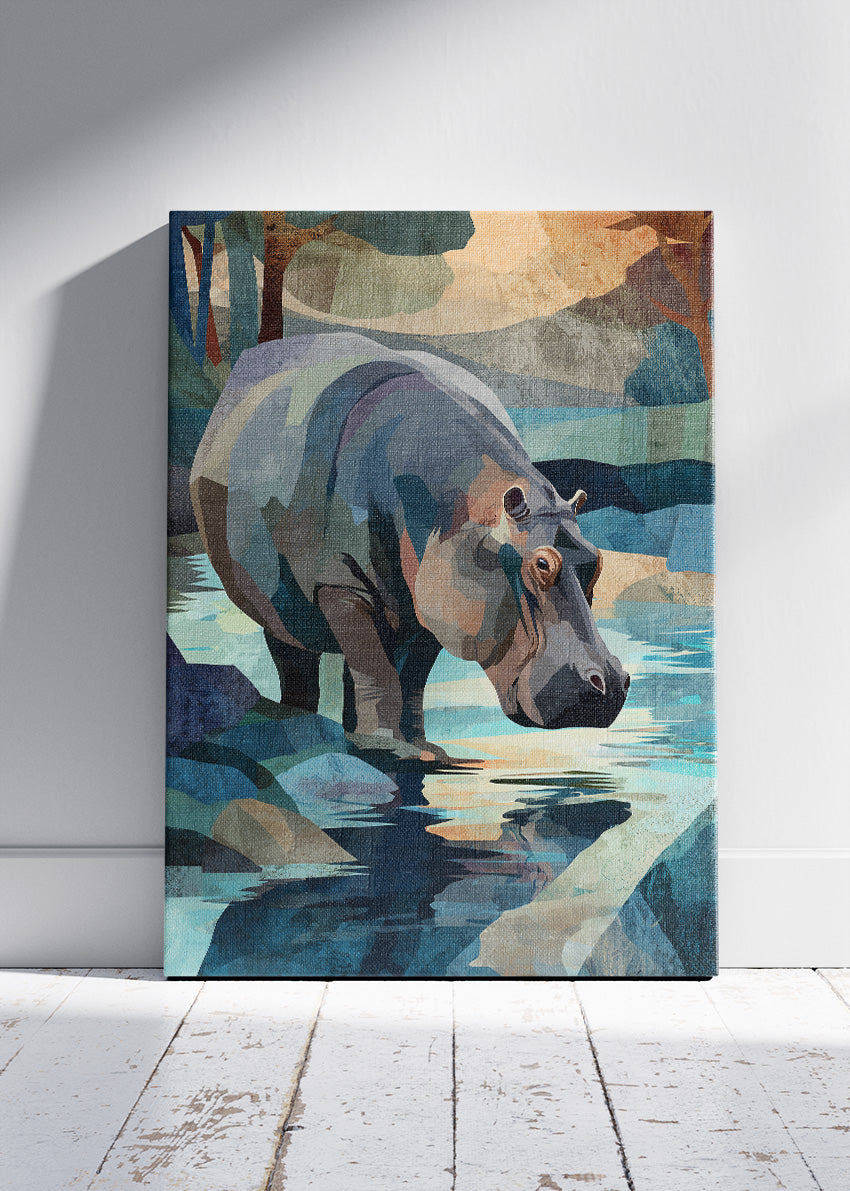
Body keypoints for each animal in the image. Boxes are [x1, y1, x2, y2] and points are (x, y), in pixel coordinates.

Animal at [189, 332, 629, 761]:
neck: (461, 506)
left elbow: (412, 678)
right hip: (281, 606)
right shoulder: (341, 584)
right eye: (542, 564)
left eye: (595, 560)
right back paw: (306, 721)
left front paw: (425, 751)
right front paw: (388, 747)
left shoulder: (430, 602)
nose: (611, 684)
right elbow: (376, 670)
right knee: (299, 661)